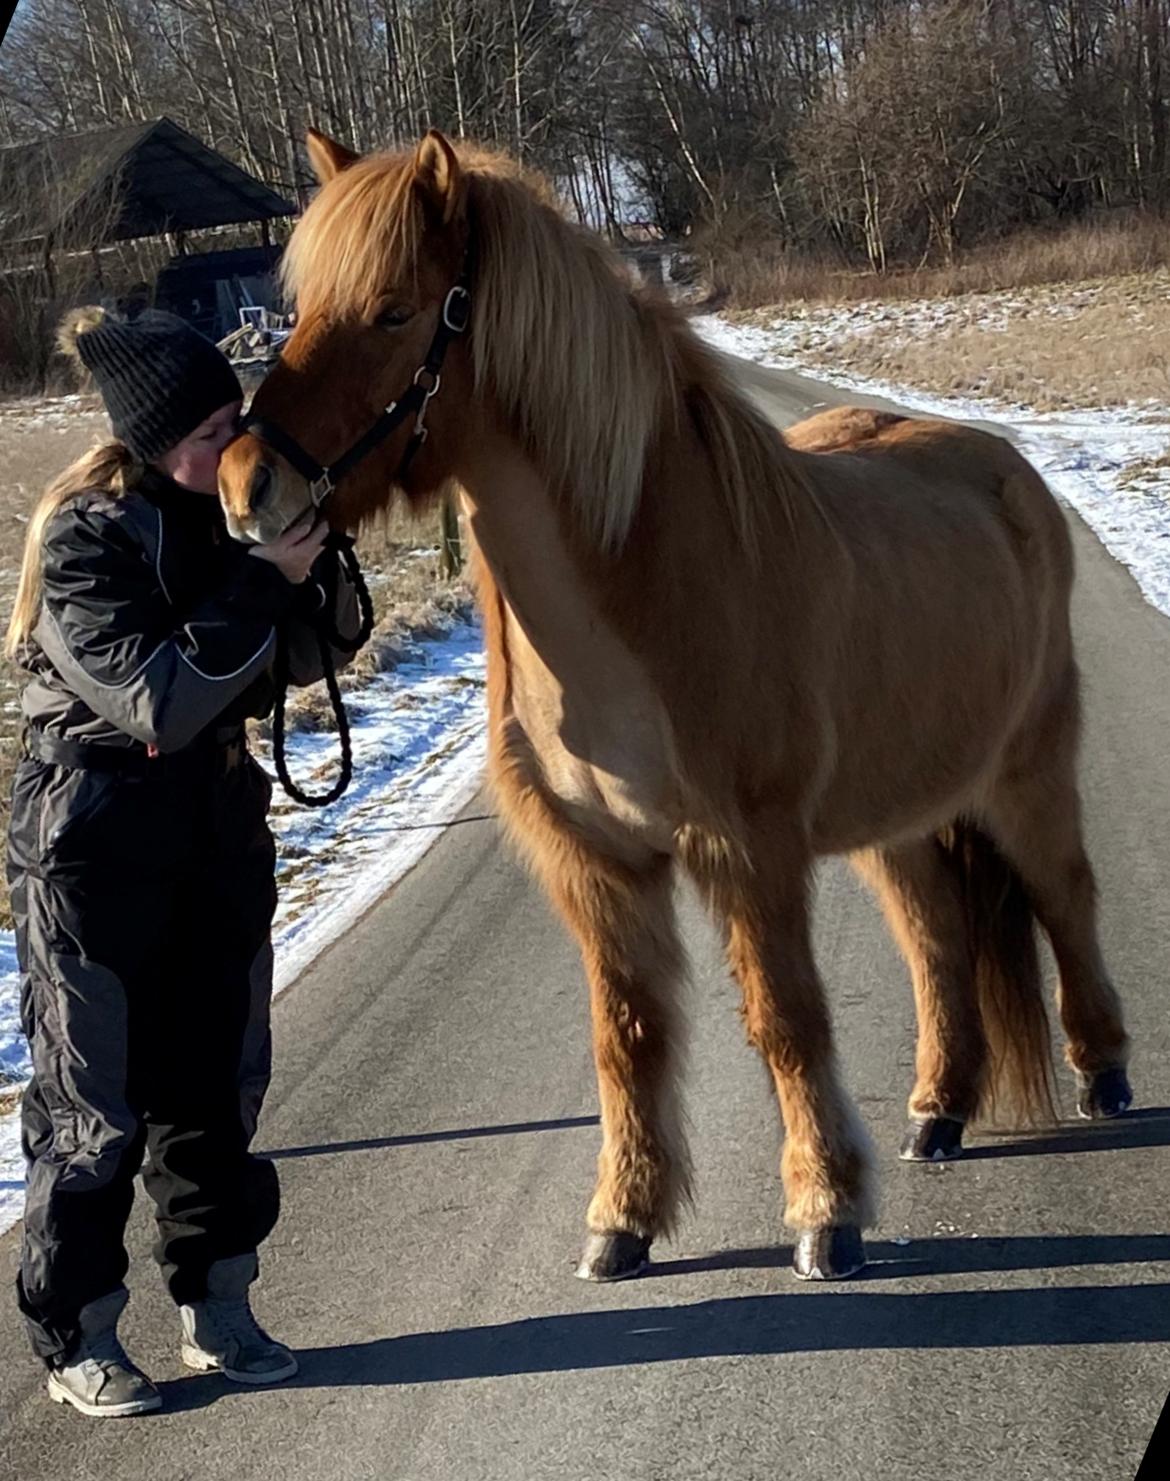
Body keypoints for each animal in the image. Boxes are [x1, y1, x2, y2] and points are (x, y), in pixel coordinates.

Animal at [219, 130, 1137, 1285]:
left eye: (392, 310)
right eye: (293, 313)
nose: (245, 489)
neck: (640, 587)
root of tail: (1001, 465)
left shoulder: (748, 849)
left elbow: (785, 1021)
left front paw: (825, 1212)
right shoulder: (597, 862)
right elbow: (628, 1036)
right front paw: (622, 1219)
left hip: (1027, 769)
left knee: (1065, 894)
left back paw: (1103, 1070)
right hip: (899, 814)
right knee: (937, 936)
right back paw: (938, 1108)